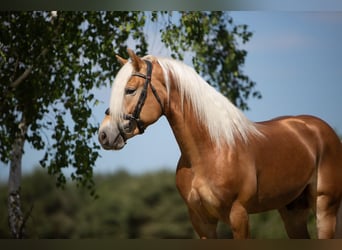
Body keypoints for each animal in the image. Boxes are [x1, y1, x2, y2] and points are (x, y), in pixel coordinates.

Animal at [98, 48, 342, 238]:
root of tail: (321, 129)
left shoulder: (238, 216)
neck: (210, 151)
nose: (104, 134)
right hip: (292, 211)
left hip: (325, 207)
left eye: (130, 90)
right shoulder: (201, 221)